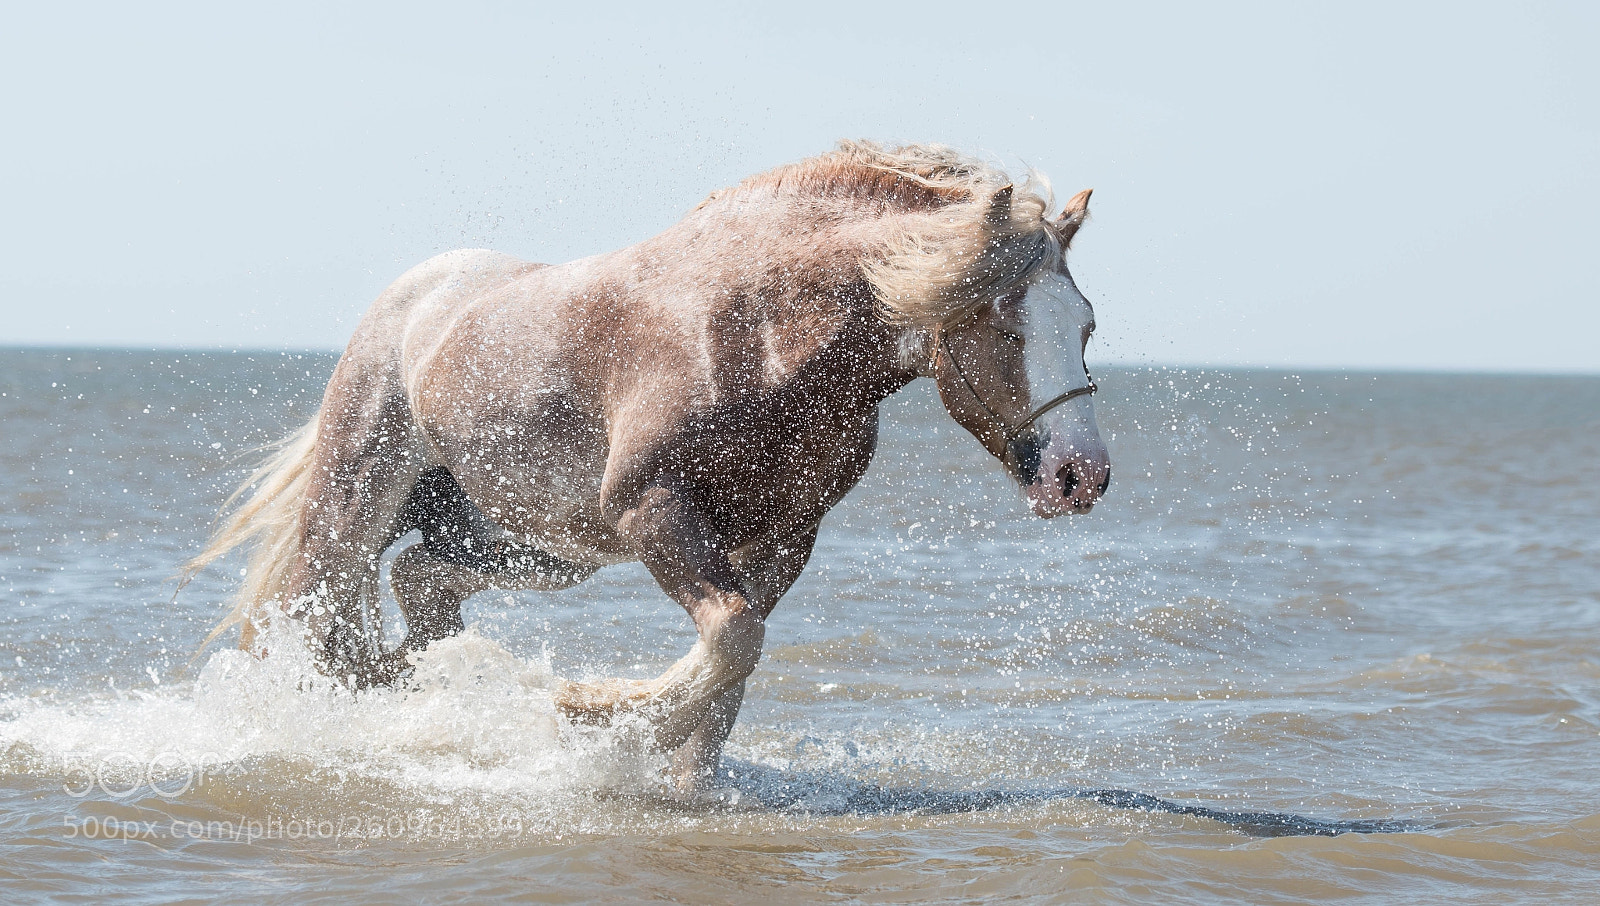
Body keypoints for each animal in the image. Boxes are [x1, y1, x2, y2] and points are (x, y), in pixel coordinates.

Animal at [183, 141, 1112, 795]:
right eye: (1005, 321)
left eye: (1087, 322)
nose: (1082, 476)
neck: (761, 332)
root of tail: (410, 301)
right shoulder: (654, 511)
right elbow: (732, 638)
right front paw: (589, 714)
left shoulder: (781, 542)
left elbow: (735, 662)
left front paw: (663, 768)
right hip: (355, 508)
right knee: (318, 619)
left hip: (533, 546)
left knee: (421, 581)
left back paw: (448, 688)